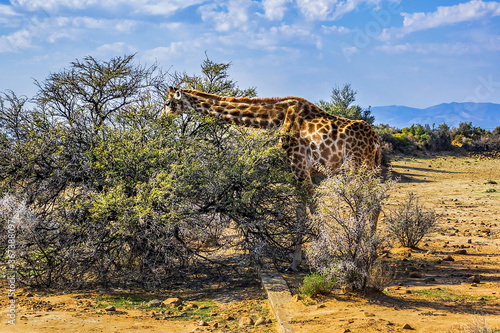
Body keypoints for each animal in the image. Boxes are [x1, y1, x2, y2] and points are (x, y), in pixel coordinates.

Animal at [162, 87, 380, 270]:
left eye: (167, 102)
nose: (161, 119)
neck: (278, 118)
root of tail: (376, 140)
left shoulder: (299, 165)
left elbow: (313, 209)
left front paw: (324, 255)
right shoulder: (298, 170)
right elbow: (301, 212)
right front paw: (296, 262)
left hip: (356, 167)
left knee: (364, 203)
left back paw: (360, 254)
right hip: (370, 168)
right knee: (374, 203)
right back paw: (370, 253)